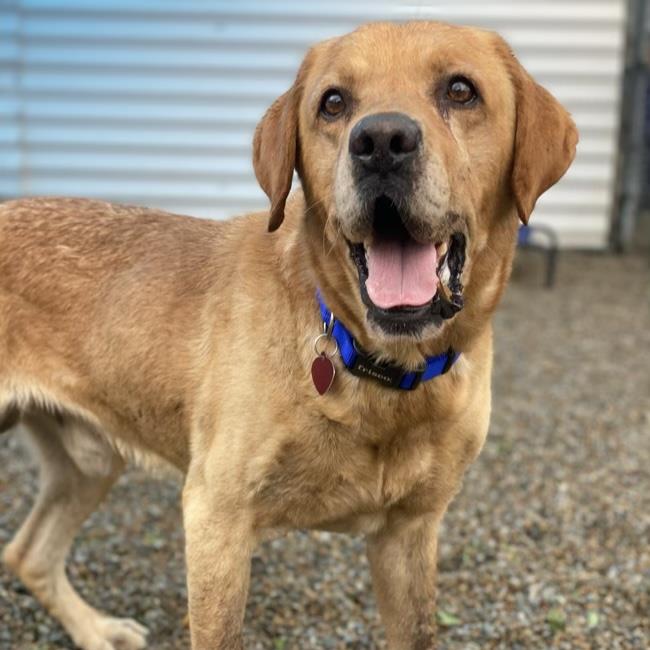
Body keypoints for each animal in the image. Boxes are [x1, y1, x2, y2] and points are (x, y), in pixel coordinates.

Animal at [0, 20, 576, 648]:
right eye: (333, 103)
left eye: (461, 91)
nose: (380, 142)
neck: (375, 365)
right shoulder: (216, 518)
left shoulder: (409, 532)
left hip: (90, 460)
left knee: (28, 554)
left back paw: (95, 630)